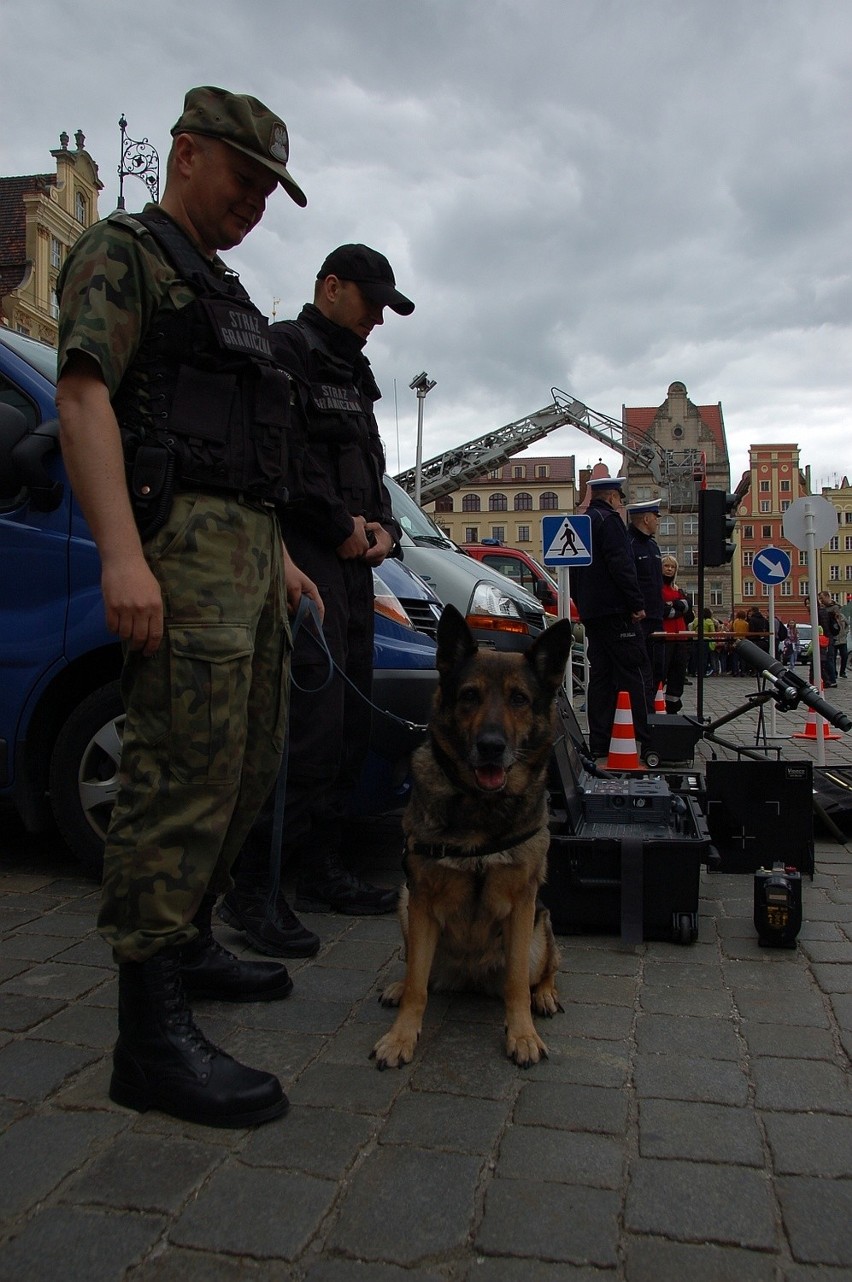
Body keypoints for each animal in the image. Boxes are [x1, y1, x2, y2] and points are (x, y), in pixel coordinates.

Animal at [371, 605, 571, 1066]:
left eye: (519, 699)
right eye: (469, 696)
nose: (491, 746)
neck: (481, 807)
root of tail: (470, 977)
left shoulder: (522, 905)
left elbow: (516, 985)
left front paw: (522, 1035)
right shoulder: (422, 899)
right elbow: (417, 985)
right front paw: (401, 1036)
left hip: (540, 926)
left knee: (545, 968)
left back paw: (545, 996)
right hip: (406, 905)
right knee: (420, 972)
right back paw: (398, 986)